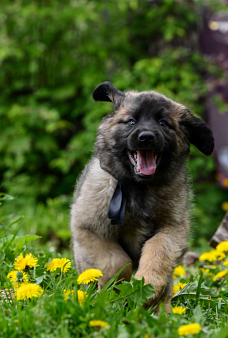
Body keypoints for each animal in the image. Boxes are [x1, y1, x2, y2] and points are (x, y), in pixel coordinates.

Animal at [70, 81, 214, 308]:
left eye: (163, 123)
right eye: (131, 121)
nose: (146, 137)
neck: (139, 187)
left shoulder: (173, 229)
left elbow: (158, 251)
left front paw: (147, 285)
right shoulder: (89, 229)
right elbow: (116, 261)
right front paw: (117, 289)